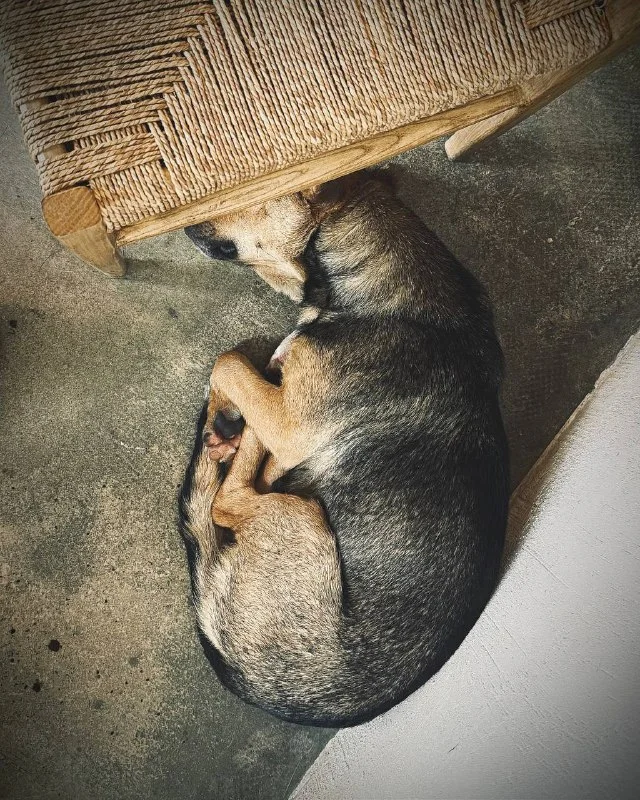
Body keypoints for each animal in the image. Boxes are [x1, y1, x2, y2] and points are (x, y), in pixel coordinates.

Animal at [180, 170, 509, 726]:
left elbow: (228, 361)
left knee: (228, 501)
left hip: (303, 515)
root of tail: (250, 680)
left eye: (254, 192)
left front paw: (235, 409)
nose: (183, 221)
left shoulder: (290, 422)